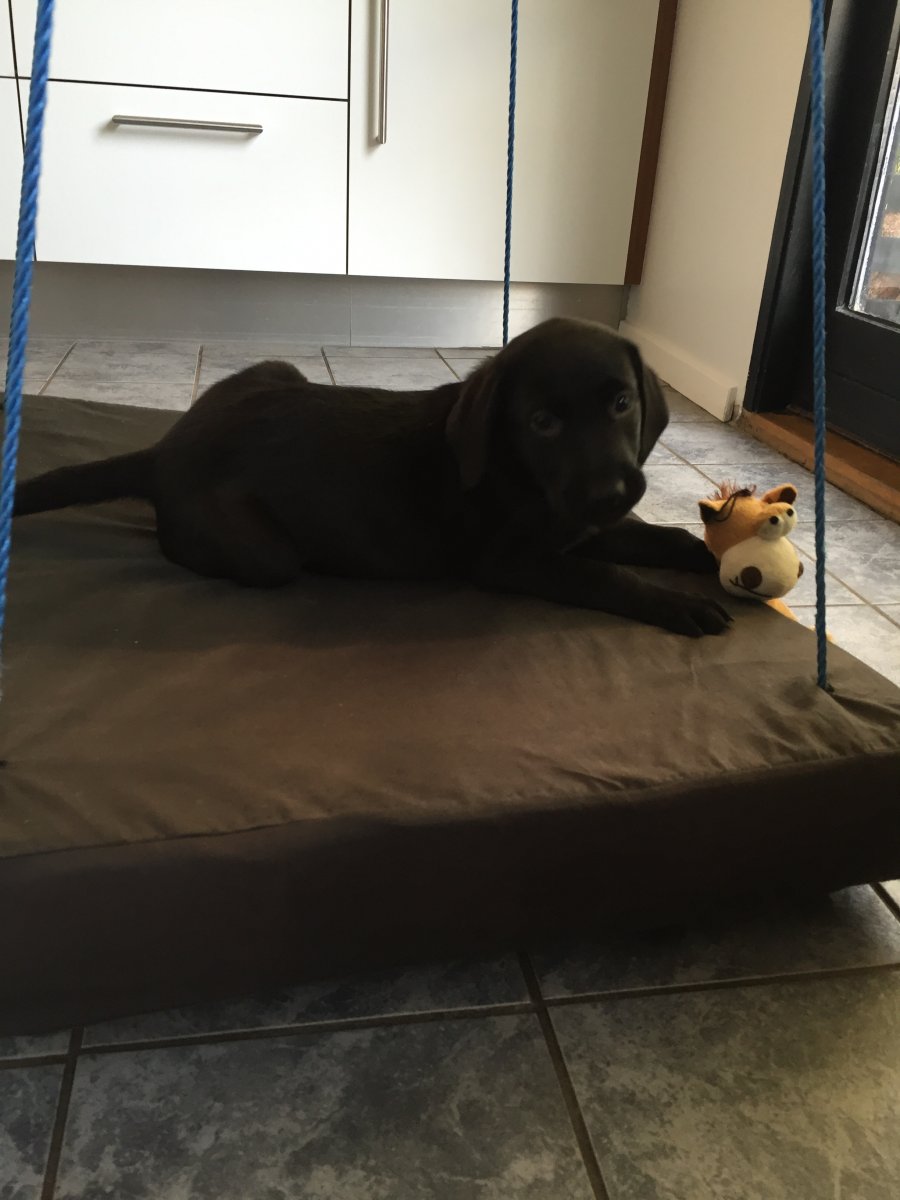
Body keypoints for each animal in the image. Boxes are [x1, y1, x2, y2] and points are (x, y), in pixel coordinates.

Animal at [14, 317, 730, 637]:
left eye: (622, 403)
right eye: (543, 422)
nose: (611, 491)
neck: (519, 470)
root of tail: (168, 446)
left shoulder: (582, 523)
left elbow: (662, 538)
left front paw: (709, 557)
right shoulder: (510, 559)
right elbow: (604, 574)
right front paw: (681, 604)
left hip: (279, 372)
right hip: (260, 551)